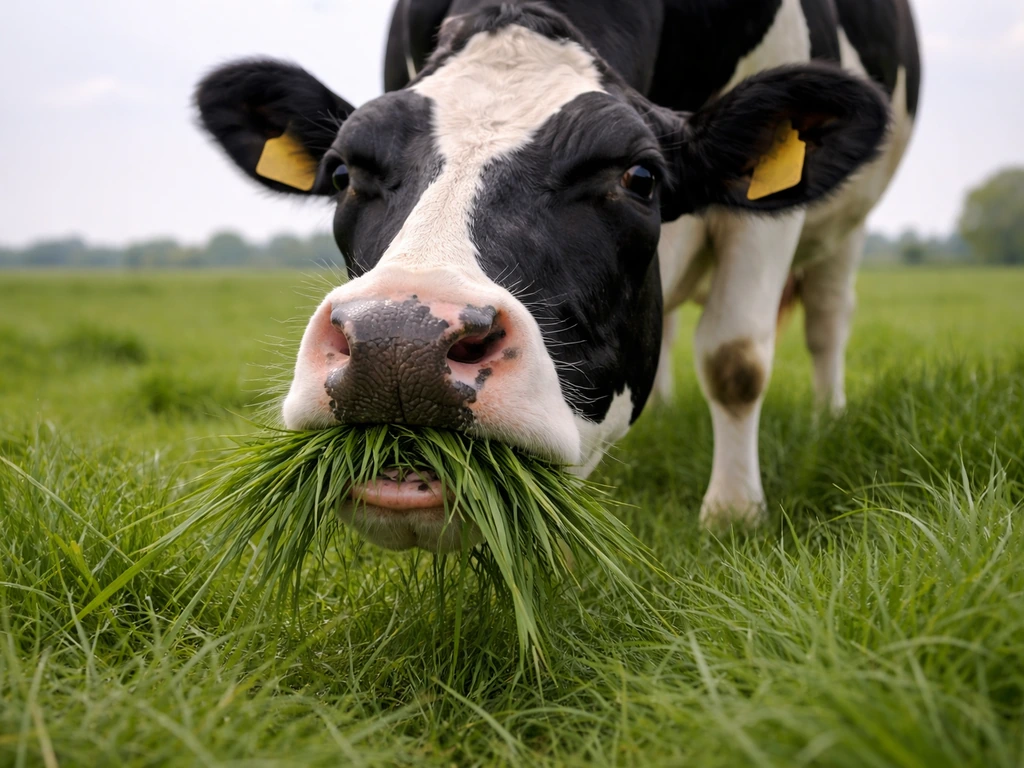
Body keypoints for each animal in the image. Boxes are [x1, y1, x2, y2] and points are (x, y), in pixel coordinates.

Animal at [195, 0, 919, 551]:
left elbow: (735, 360)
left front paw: (733, 515)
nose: (398, 344)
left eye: (640, 176)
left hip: (844, 229)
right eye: (344, 173)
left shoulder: (761, 217)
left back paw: (828, 418)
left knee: (827, 320)